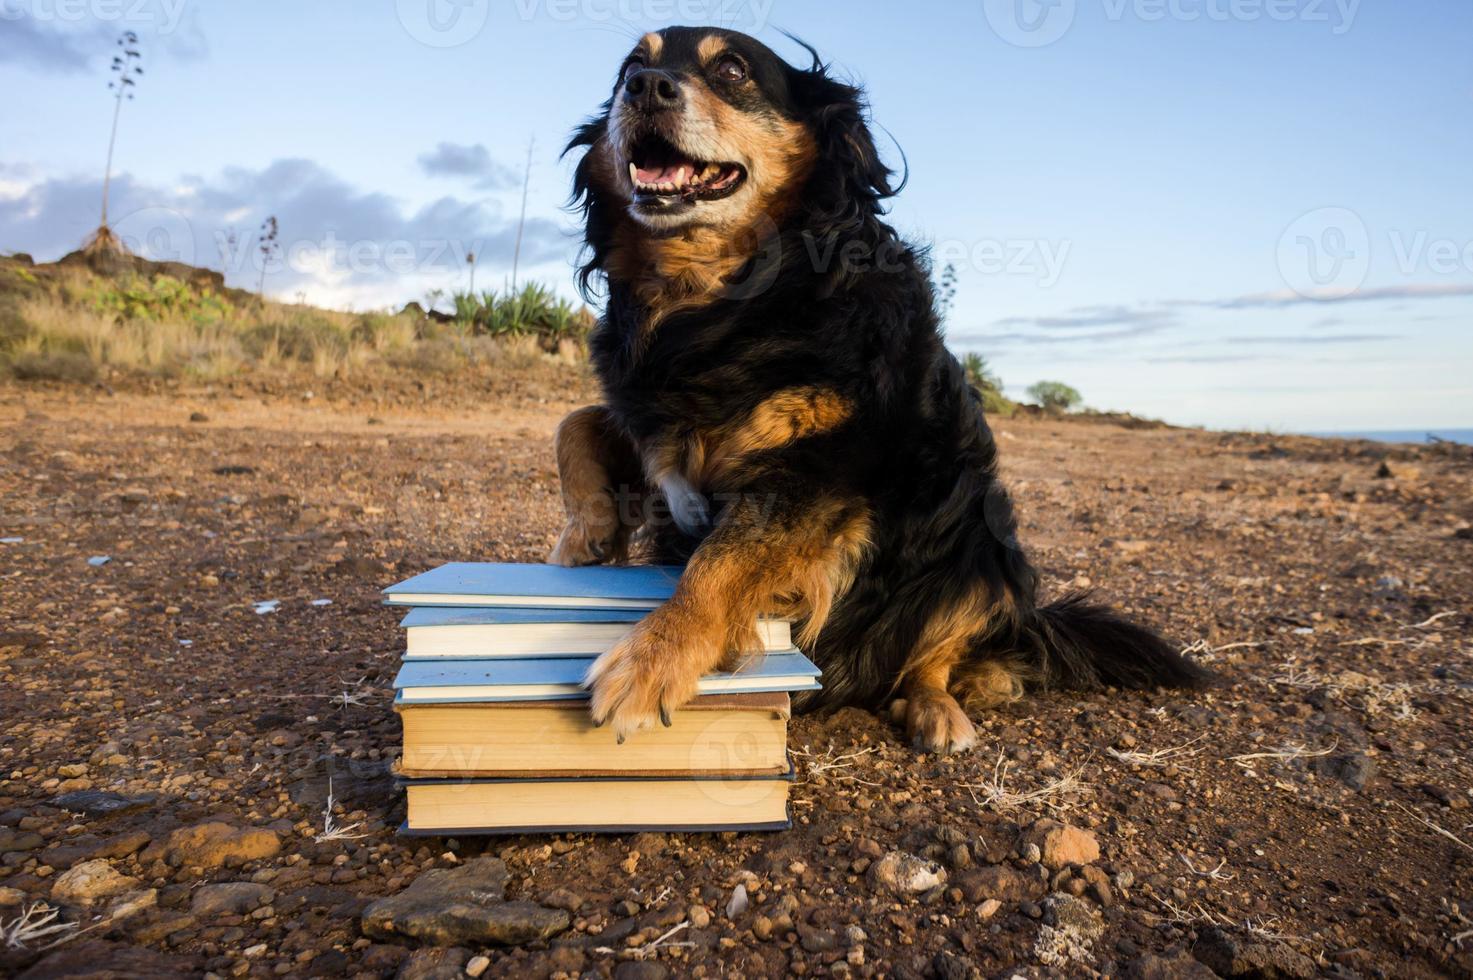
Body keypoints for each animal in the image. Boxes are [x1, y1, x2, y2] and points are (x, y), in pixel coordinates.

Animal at [553, 28, 1207, 748]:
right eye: (630, 68)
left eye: (731, 69)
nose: (645, 88)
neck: (717, 304)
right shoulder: (654, 416)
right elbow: (577, 423)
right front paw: (587, 534)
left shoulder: (817, 471)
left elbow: (717, 563)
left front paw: (651, 660)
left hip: (982, 553)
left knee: (938, 657)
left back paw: (937, 708)